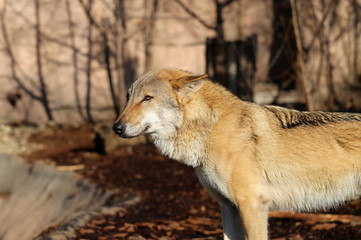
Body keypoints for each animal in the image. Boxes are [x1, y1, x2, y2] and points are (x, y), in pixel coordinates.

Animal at [112, 67, 360, 240]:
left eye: (147, 98)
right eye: (128, 97)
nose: (116, 128)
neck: (211, 129)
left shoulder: (252, 204)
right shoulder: (228, 207)